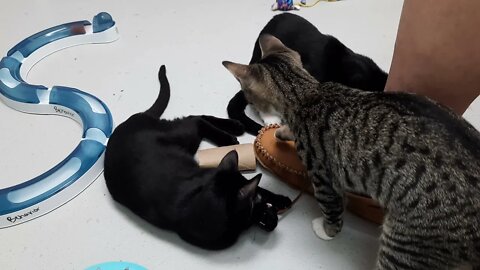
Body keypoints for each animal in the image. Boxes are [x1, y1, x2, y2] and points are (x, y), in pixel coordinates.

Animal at [103, 66, 290, 251]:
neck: (197, 202)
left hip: (186, 136)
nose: (270, 210)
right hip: (186, 135)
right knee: (194, 119)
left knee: (195, 117)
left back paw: (234, 129)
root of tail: (132, 119)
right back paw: (230, 135)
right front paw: (270, 212)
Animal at [223, 35, 480, 268]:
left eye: (246, 92)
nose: (247, 99)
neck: (307, 93)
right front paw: (282, 132)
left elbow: (332, 211)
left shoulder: (325, 180)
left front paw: (326, 231)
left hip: (405, 244)